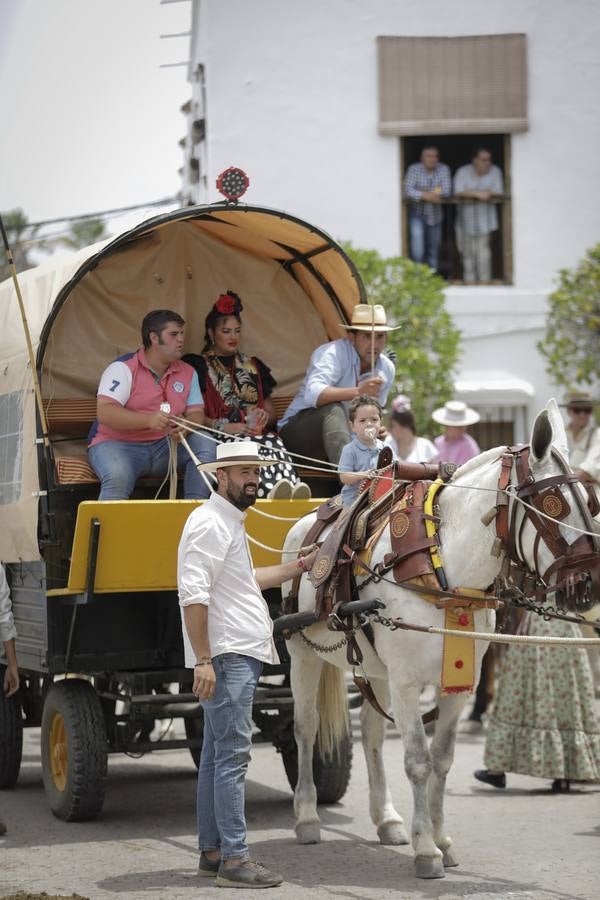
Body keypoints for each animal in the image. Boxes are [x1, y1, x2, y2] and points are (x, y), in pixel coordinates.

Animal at [282, 402, 600, 880]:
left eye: (589, 501)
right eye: (553, 505)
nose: (592, 586)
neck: (441, 567)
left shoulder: (457, 684)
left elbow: (443, 760)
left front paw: (441, 838)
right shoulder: (408, 682)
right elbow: (417, 761)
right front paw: (425, 848)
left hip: (375, 671)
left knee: (372, 735)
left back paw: (386, 819)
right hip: (304, 655)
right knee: (305, 727)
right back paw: (305, 817)